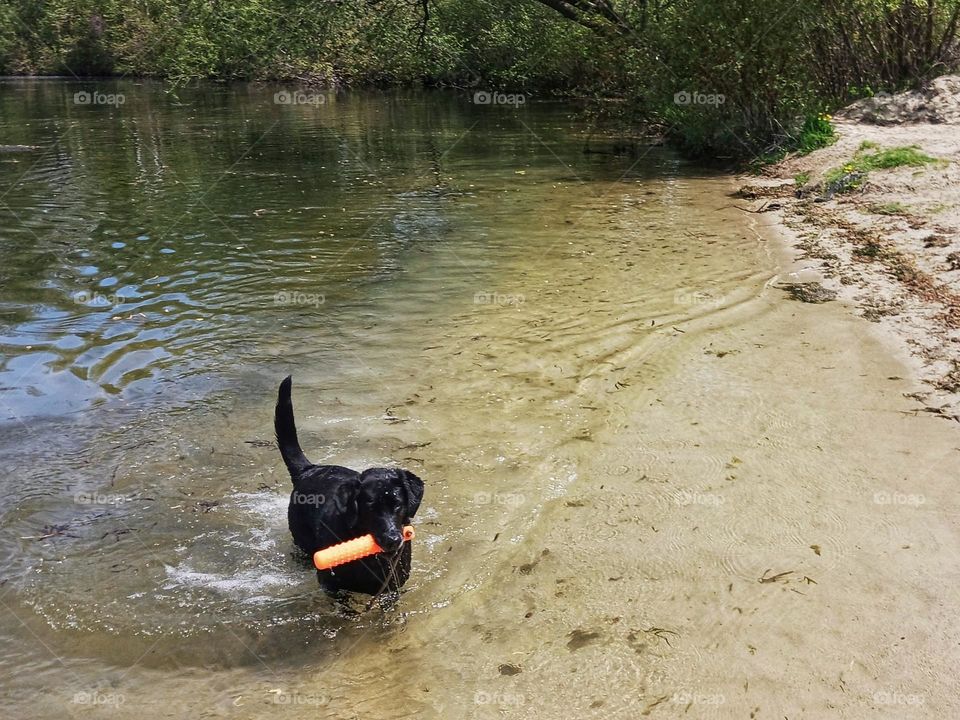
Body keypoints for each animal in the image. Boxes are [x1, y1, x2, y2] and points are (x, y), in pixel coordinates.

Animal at [270, 376, 420, 596]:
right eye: (370, 508)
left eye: (398, 504)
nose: (392, 539)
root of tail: (309, 469)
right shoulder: (331, 585)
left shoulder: (391, 588)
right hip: (302, 542)